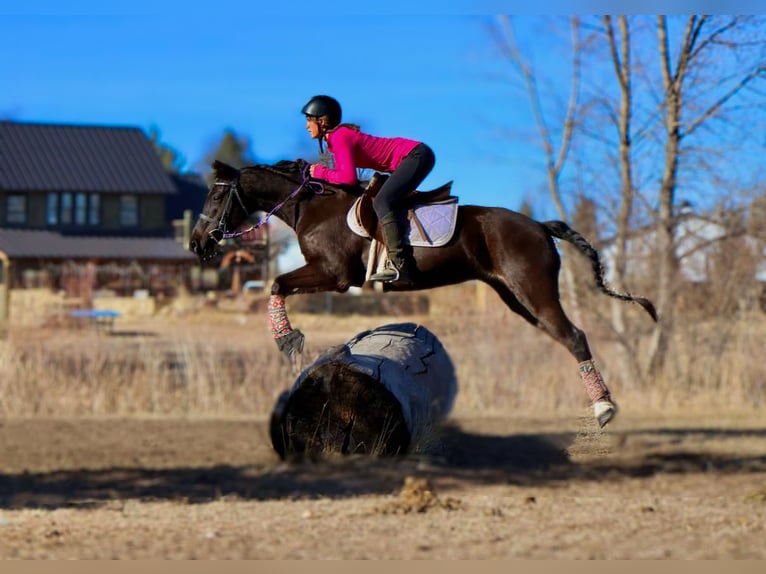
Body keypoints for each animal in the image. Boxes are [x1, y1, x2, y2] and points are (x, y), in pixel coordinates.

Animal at [190, 159, 657, 428]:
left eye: (214, 195)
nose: (196, 243)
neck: (312, 206)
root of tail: (541, 226)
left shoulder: (334, 274)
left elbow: (277, 283)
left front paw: (287, 340)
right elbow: (279, 284)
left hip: (534, 290)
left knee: (574, 336)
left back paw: (604, 409)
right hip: (517, 299)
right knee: (562, 336)